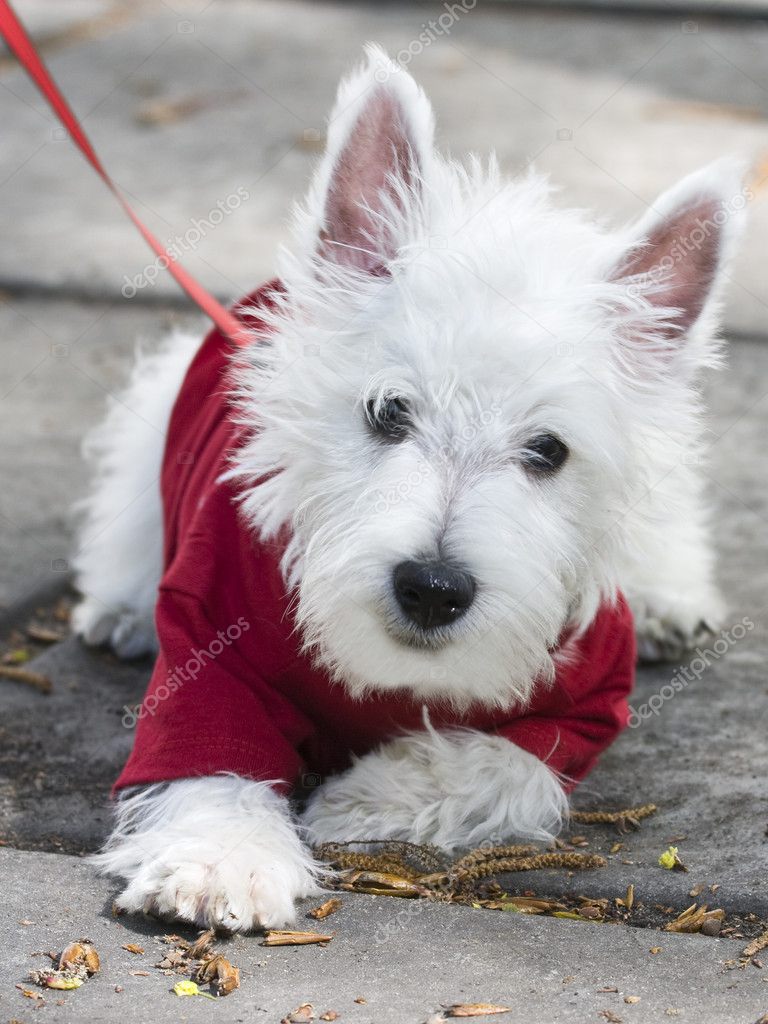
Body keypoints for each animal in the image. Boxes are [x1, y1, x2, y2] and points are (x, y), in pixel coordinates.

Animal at [72, 48, 745, 929]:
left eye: (548, 450)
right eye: (389, 410)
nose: (432, 588)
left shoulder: (583, 708)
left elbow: (496, 761)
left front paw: (363, 798)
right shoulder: (210, 652)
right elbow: (212, 768)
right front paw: (224, 860)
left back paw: (670, 599)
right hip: (159, 418)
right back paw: (119, 607)